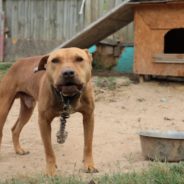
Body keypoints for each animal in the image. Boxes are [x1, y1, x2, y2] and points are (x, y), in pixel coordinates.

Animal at [0, 47, 98, 175]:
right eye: (55, 60)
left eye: (79, 59)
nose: (68, 73)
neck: (67, 97)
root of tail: (17, 62)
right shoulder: (43, 121)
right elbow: (49, 149)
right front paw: (51, 170)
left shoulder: (88, 117)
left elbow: (88, 144)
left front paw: (89, 165)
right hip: (3, 108)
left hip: (27, 109)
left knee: (15, 129)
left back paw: (19, 150)